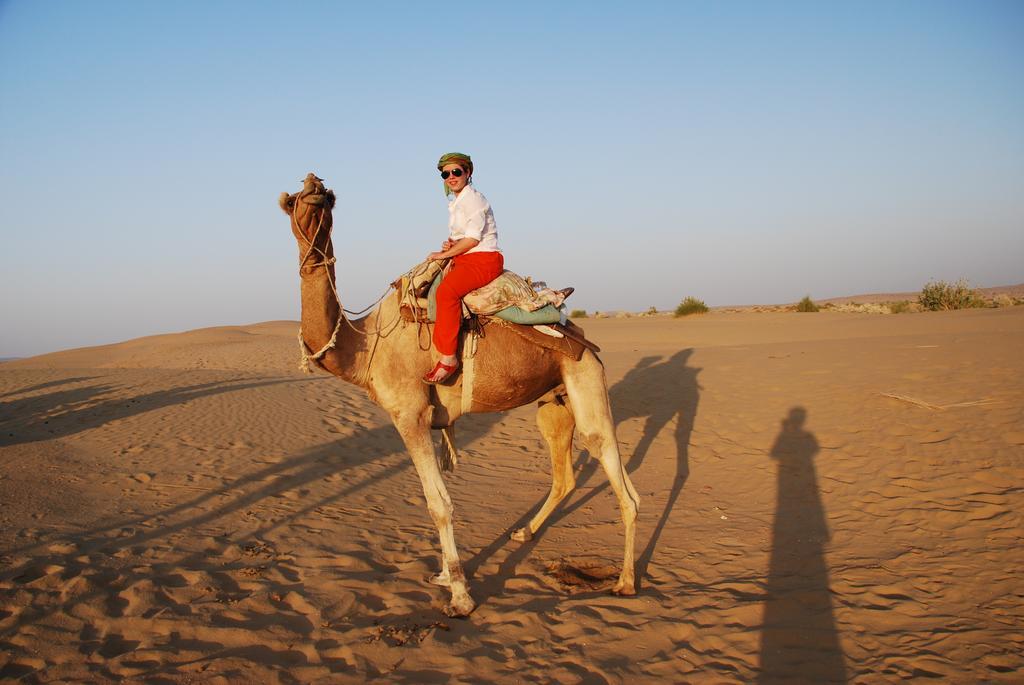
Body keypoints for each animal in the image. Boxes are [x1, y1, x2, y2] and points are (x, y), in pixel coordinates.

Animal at [276, 174, 634, 618]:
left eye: (327, 199)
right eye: (295, 200)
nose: (314, 182)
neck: (365, 346)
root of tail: (581, 336)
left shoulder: (409, 414)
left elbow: (438, 504)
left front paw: (461, 595)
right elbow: (438, 499)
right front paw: (446, 575)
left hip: (586, 379)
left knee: (615, 472)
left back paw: (625, 582)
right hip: (555, 400)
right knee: (567, 475)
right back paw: (523, 533)